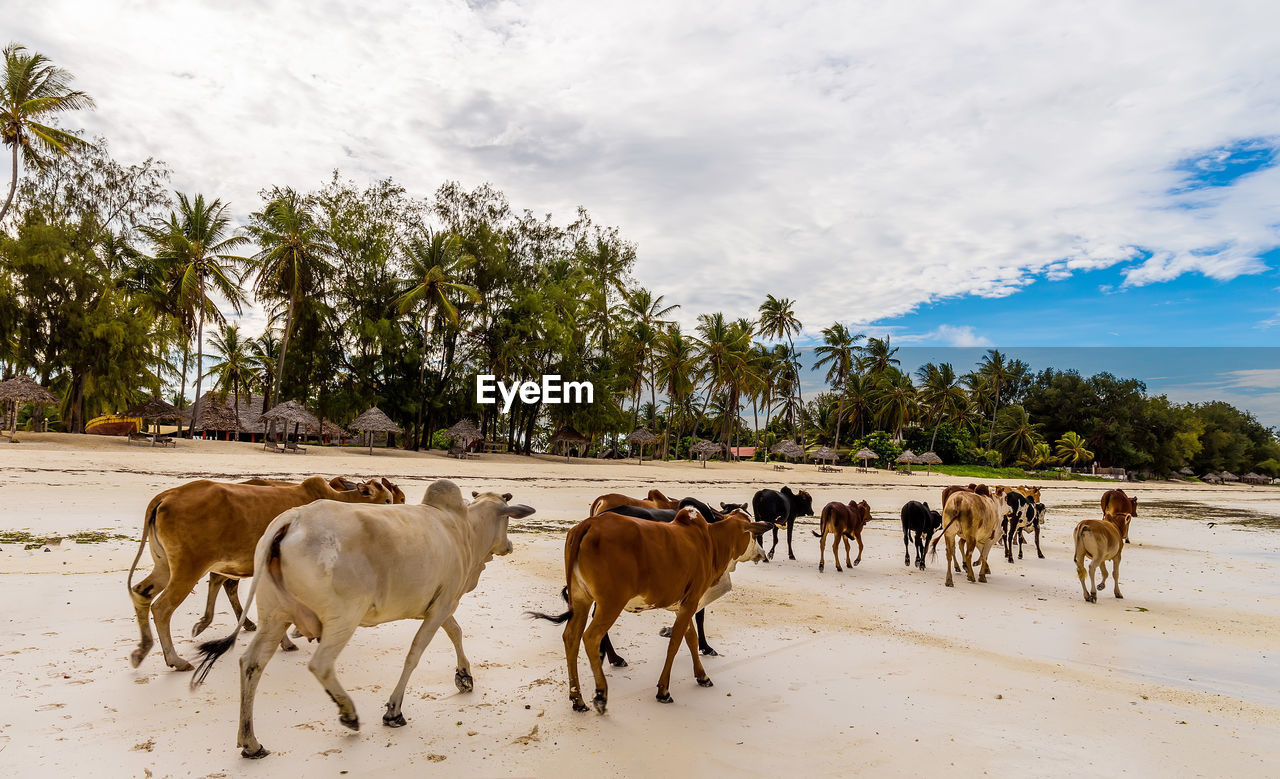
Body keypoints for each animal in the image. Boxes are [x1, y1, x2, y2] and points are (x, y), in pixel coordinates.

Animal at [129, 473, 399, 670]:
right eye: (387, 500)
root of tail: (166, 496)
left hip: (164, 567)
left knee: (141, 592)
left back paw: (143, 649)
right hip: (187, 569)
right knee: (162, 608)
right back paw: (174, 659)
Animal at [186, 475, 532, 757]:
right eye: (506, 518)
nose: (509, 545)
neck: (464, 530)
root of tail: (292, 519)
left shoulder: (440, 605)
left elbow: (456, 632)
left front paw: (464, 676)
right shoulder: (442, 604)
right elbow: (415, 653)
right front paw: (394, 711)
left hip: (275, 614)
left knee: (251, 663)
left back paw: (251, 742)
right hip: (343, 618)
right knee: (321, 664)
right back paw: (348, 713)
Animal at [540, 503, 768, 711]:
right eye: (753, 534)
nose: (762, 554)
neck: (710, 542)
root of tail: (588, 524)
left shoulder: (682, 605)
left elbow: (691, 639)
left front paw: (702, 676)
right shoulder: (692, 601)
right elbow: (675, 643)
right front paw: (664, 690)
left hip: (581, 599)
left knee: (571, 637)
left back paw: (577, 699)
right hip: (611, 603)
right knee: (591, 638)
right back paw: (601, 693)